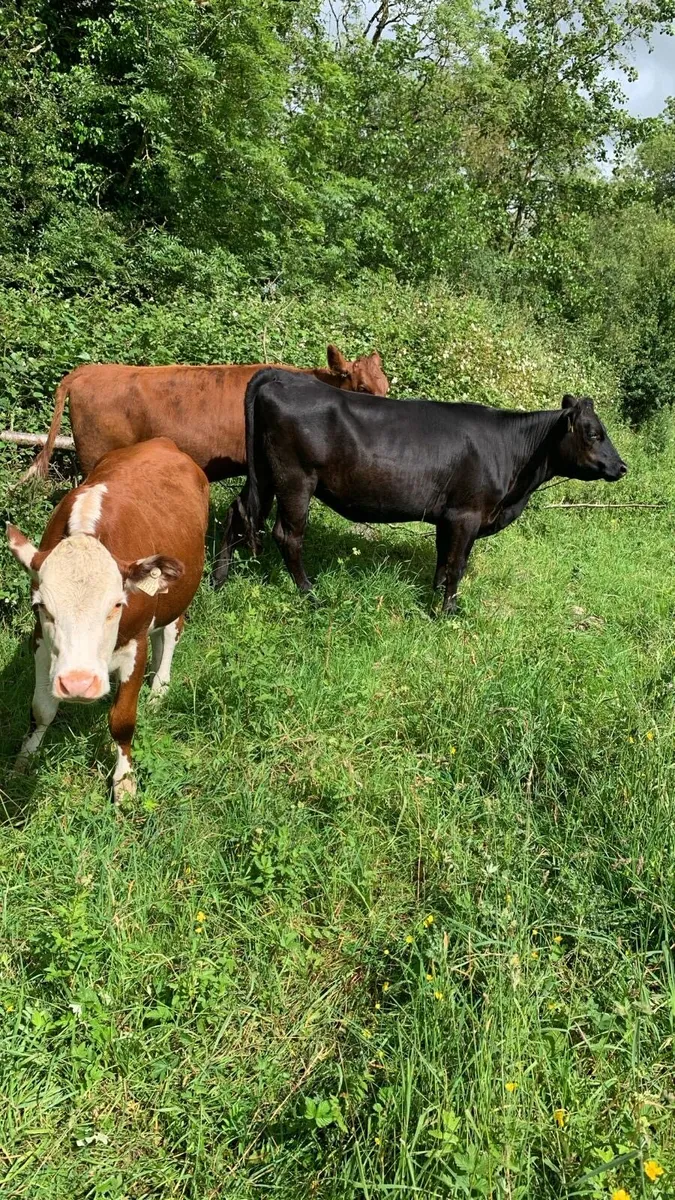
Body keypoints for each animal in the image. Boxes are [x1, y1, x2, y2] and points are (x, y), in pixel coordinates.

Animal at [6, 438, 209, 802]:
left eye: (117, 604)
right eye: (41, 606)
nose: (78, 684)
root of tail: (162, 442)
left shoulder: (135, 644)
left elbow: (122, 720)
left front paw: (124, 782)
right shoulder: (41, 642)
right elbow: (41, 709)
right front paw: (23, 763)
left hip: (179, 594)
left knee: (171, 632)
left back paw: (159, 689)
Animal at [229, 370, 627, 614]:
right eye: (594, 433)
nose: (622, 467)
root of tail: (279, 376)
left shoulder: (446, 516)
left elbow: (442, 559)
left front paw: (434, 596)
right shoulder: (466, 514)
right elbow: (458, 564)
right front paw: (449, 611)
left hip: (264, 473)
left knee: (241, 512)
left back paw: (223, 579)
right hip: (295, 479)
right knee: (287, 534)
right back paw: (310, 593)